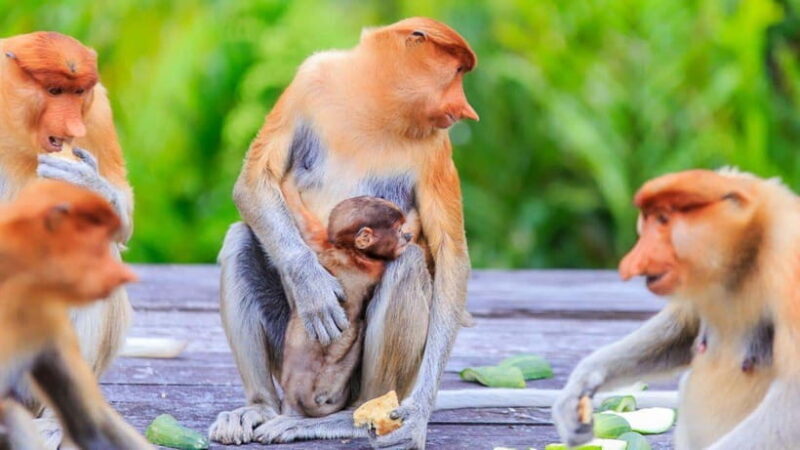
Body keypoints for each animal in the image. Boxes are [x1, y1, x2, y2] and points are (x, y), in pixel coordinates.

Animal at [0, 31, 134, 445]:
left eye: (79, 93)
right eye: (55, 90)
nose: (73, 128)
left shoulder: (98, 112)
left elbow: (121, 217)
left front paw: (86, 182)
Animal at [280, 186, 413, 418]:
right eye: (398, 230)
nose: (407, 235)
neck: (349, 251)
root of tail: (298, 391)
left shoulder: (322, 244)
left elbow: (305, 225)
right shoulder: (374, 267)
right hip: (331, 377)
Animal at [552, 168, 800, 449]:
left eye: (663, 219)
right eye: (648, 219)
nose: (631, 263)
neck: (747, 251)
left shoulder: (789, 263)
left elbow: (793, 400)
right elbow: (684, 330)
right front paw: (576, 393)